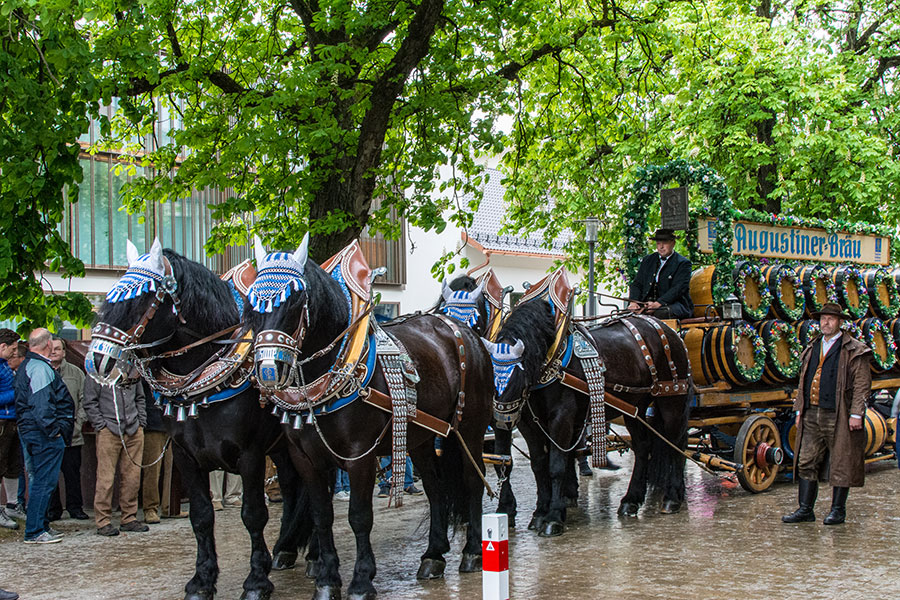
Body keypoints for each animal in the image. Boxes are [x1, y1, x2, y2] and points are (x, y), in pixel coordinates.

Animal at [85, 240, 310, 600]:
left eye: (139, 300)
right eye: (109, 297)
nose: (96, 361)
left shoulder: (249, 455)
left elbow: (253, 515)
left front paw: (256, 581)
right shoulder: (186, 456)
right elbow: (202, 517)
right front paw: (202, 580)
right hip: (280, 448)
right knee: (291, 486)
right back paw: (285, 548)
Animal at [243, 239, 492, 600]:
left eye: (296, 300)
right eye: (251, 304)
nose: (267, 371)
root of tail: (459, 330)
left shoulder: (359, 455)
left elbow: (359, 516)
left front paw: (361, 581)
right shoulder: (306, 459)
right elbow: (322, 515)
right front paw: (326, 580)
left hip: (469, 429)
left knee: (473, 481)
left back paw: (472, 552)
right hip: (419, 439)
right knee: (434, 488)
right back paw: (433, 556)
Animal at [486, 298, 688, 536]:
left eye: (518, 376)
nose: (500, 420)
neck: (550, 359)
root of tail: (666, 329)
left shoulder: (561, 418)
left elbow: (556, 466)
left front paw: (553, 517)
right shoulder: (528, 423)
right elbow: (538, 465)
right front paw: (540, 512)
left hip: (671, 399)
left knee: (676, 445)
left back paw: (672, 497)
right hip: (633, 408)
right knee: (642, 448)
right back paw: (631, 500)